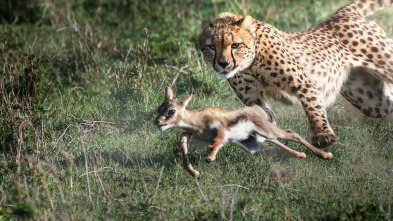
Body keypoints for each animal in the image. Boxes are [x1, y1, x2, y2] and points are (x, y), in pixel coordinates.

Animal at [199, 0, 392, 148]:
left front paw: (323, 135)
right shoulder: (253, 97)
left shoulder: (303, 84)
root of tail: (339, 15)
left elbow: (313, 107)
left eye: (235, 45)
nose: (223, 64)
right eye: (212, 46)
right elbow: (262, 117)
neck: (250, 63)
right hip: (373, 102)